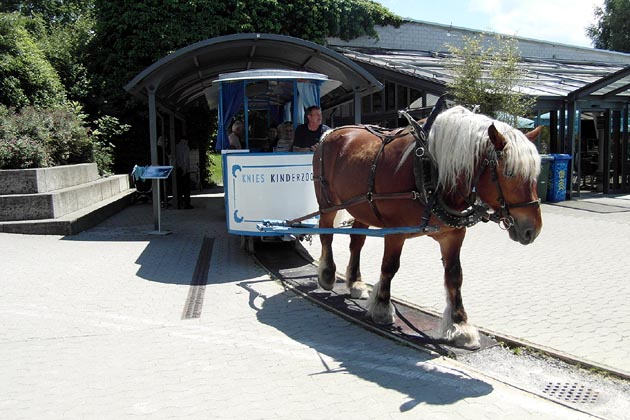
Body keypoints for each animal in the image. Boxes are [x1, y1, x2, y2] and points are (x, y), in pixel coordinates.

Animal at [314, 106, 544, 348]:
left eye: (535, 174)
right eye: (509, 173)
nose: (532, 229)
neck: (429, 170)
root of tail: (330, 133)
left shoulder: (453, 235)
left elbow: (454, 276)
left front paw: (459, 324)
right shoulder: (396, 232)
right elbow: (389, 267)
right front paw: (382, 307)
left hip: (362, 208)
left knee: (356, 242)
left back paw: (355, 282)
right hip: (327, 204)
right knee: (326, 235)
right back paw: (327, 274)